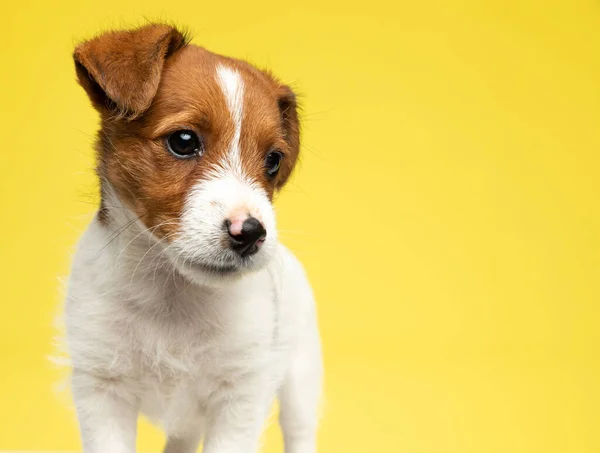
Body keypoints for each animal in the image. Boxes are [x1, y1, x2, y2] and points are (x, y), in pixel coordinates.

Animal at [65, 23, 324, 452]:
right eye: (183, 141)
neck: (173, 297)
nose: (251, 233)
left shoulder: (240, 395)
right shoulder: (102, 388)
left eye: (273, 160)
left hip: (300, 381)